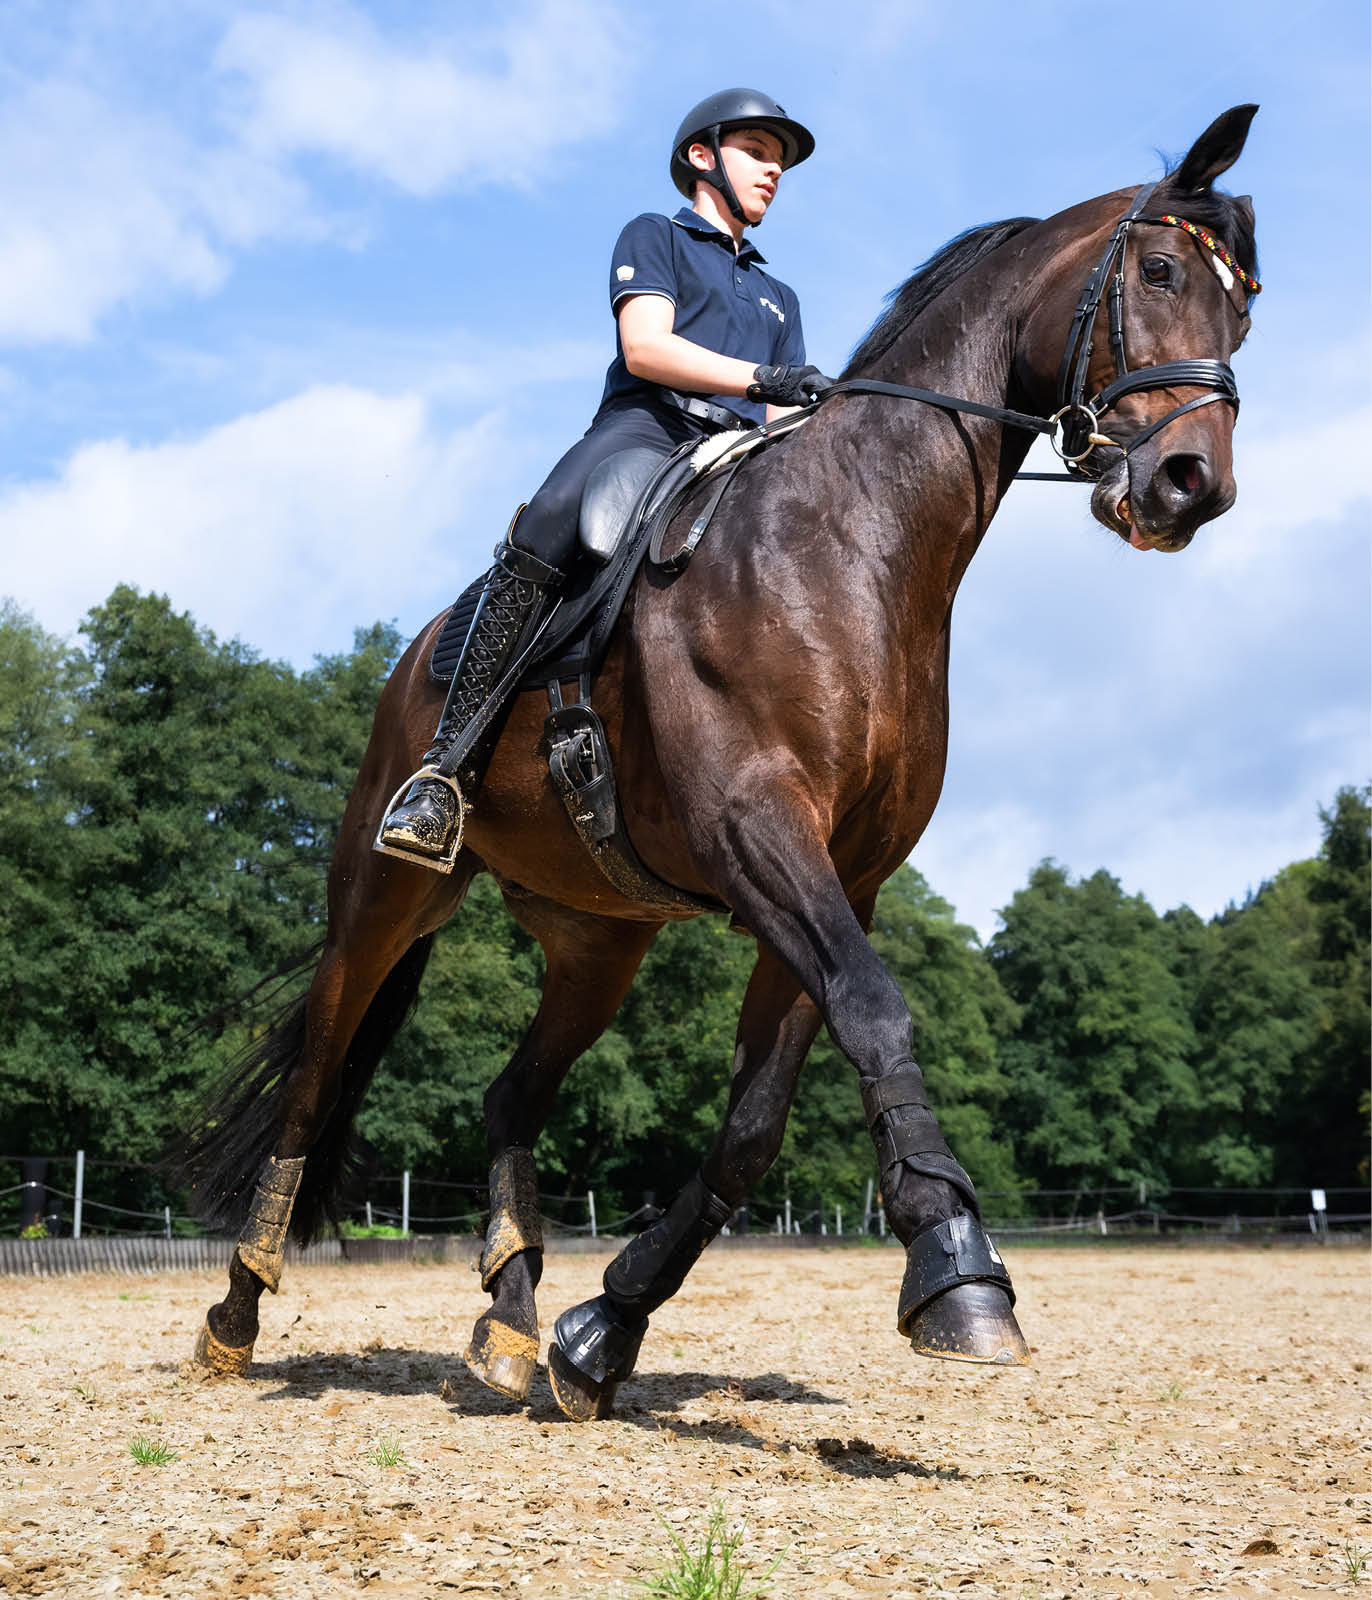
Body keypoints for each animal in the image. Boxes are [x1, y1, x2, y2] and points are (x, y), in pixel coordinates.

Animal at [185, 106, 1260, 1420]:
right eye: (1156, 273)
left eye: (1242, 311)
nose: (1189, 487)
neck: (855, 545)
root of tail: (415, 657)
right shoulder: (759, 830)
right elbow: (875, 1013)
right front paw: (959, 1274)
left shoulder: (840, 878)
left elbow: (756, 1116)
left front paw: (602, 1333)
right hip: (381, 891)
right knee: (316, 1077)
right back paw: (235, 1315)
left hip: (597, 942)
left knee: (511, 1094)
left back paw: (512, 1317)